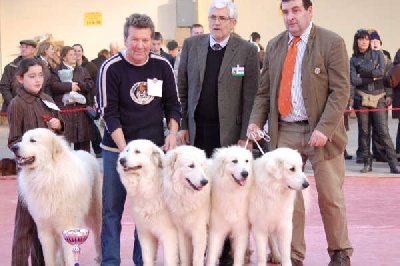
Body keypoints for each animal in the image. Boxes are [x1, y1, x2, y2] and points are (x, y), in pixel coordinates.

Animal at [12, 128, 101, 264]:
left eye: (33, 140)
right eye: (21, 139)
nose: (14, 147)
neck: (48, 175)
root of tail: (85, 152)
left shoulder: (68, 227)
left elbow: (70, 257)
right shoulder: (45, 230)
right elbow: (49, 258)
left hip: (94, 212)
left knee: (98, 233)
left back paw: (100, 256)